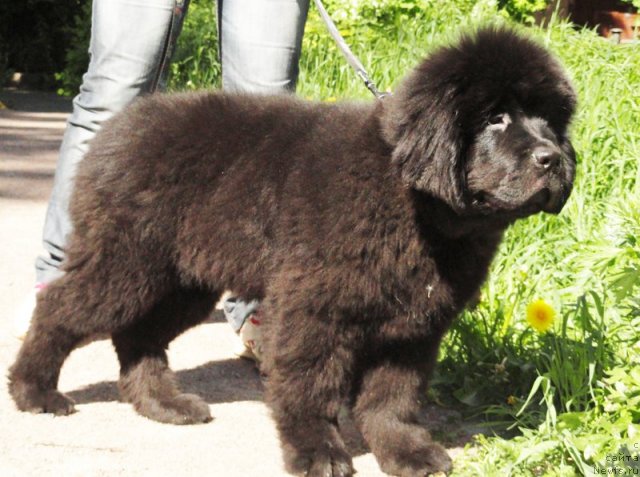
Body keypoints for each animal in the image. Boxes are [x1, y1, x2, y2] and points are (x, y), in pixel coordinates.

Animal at [11, 27, 576, 476]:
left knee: (138, 335)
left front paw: (407, 453)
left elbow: (393, 399)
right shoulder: (315, 308)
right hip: (127, 263)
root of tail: (117, 129)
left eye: (548, 119)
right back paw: (34, 392)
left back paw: (163, 404)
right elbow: (311, 387)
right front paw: (318, 454)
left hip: (183, 281)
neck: (412, 200)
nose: (553, 159)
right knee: (60, 308)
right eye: (496, 118)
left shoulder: (413, 325)